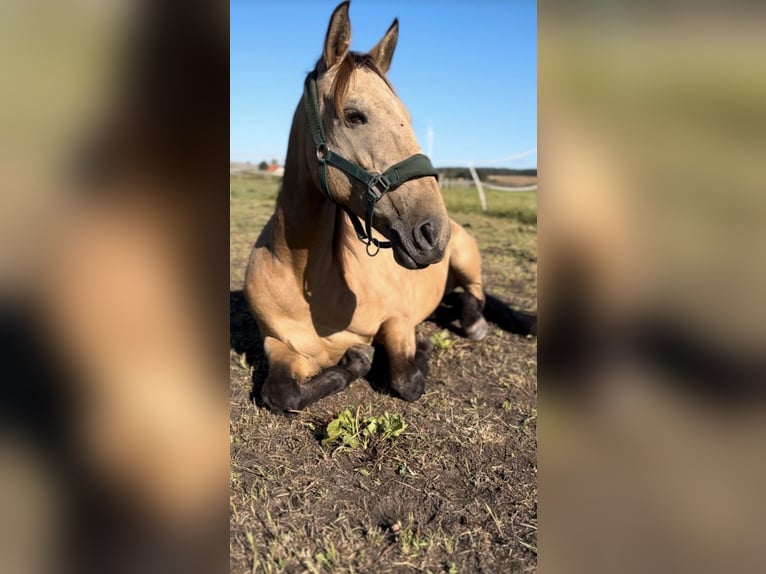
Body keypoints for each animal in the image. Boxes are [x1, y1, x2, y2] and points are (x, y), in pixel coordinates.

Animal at [244, 1, 536, 414]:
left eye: (407, 118)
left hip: (467, 259)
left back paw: (472, 321)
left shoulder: (397, 321)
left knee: (475, 295)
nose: (433, 233)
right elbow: (280, 394)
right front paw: (355, 360)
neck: (301, 274)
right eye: (354, 115)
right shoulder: (279, 346)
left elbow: (404, 378)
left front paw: (418, 347)